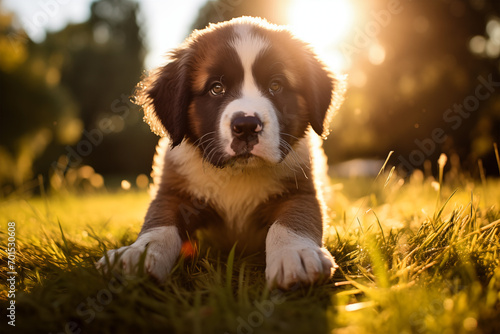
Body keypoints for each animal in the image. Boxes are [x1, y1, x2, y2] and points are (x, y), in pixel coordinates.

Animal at [98, 17, 348, 288]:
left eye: (276, 85)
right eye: (216, 88)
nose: (246, 126)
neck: (237, 173)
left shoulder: (300, 192)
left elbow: (291, 222)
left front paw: (295, 254)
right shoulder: (172, 193)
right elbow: (159, 224)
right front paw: (137, 254)